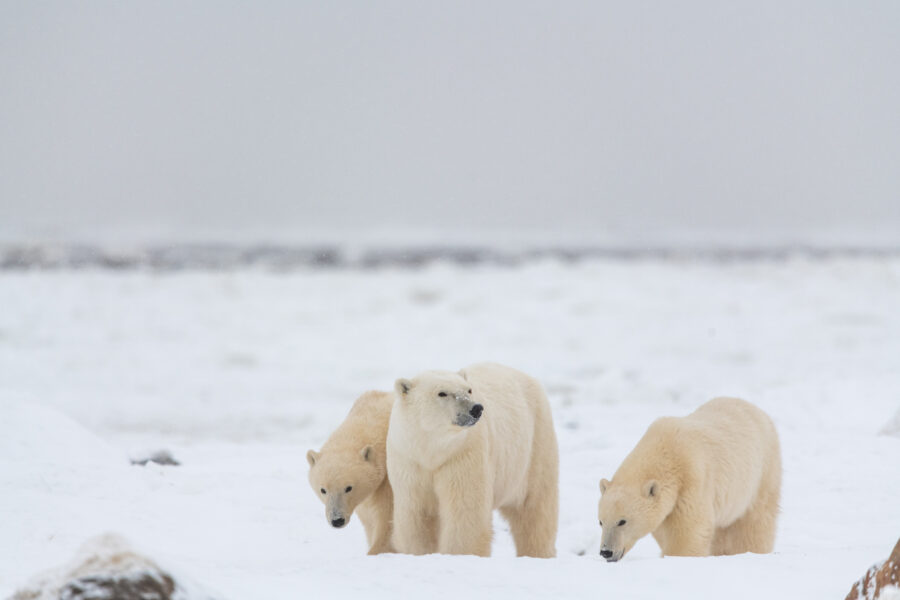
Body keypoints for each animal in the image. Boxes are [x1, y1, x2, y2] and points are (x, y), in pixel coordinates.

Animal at [386, 362, 559, 558]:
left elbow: (464, 510)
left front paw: (460, 554)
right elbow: (416, 513)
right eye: (442, 393)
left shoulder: (463, 454)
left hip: (535, 446)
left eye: (468, 390)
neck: (433, 451)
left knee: (534, 508)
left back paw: (537, 553)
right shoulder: (409, 460)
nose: (476, 408)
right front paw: (421, 553)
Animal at [597, 396, 782, 562]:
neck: (666, 452)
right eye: (600, 522)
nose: (606, 552)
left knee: (754, 522)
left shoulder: (692, 480)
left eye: (622, 521)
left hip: (762, 472)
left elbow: (688, 531)